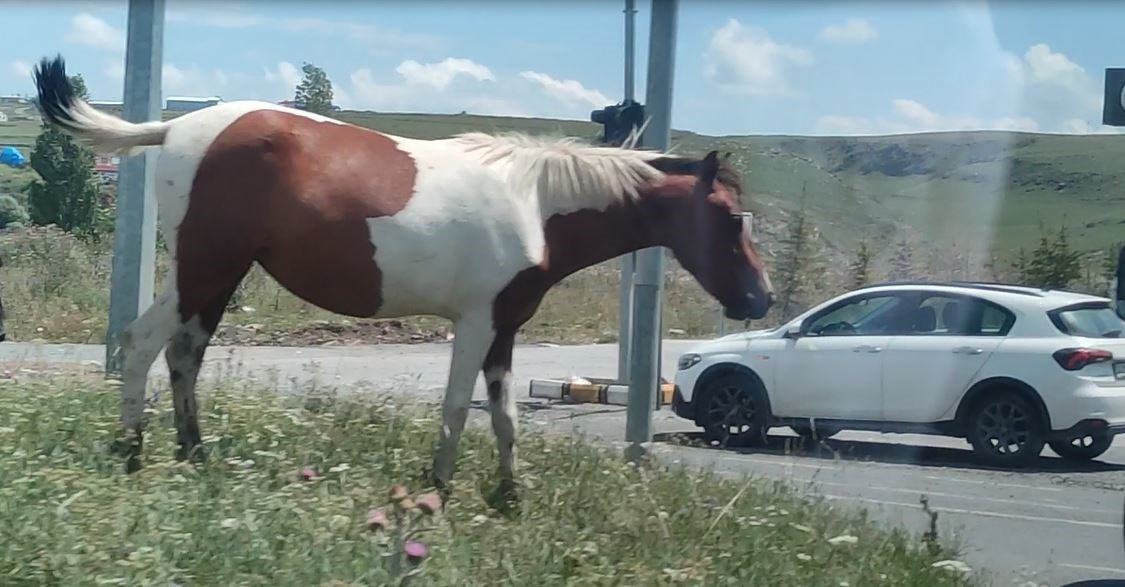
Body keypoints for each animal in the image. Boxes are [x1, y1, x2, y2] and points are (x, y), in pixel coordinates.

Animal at [32, 54, 774, 492]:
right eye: (729, 218)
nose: (760, 299)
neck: (535, 200)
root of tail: (175, 128)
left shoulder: (505, 330)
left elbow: (503, 414)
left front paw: (509, 494)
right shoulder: (476, 322)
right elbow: (455, 405)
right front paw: (438, 486)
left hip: (214, 278)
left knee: (183, 354)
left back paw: (194, 454)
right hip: (204, 268)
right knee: (143, 343)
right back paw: (133, 454)